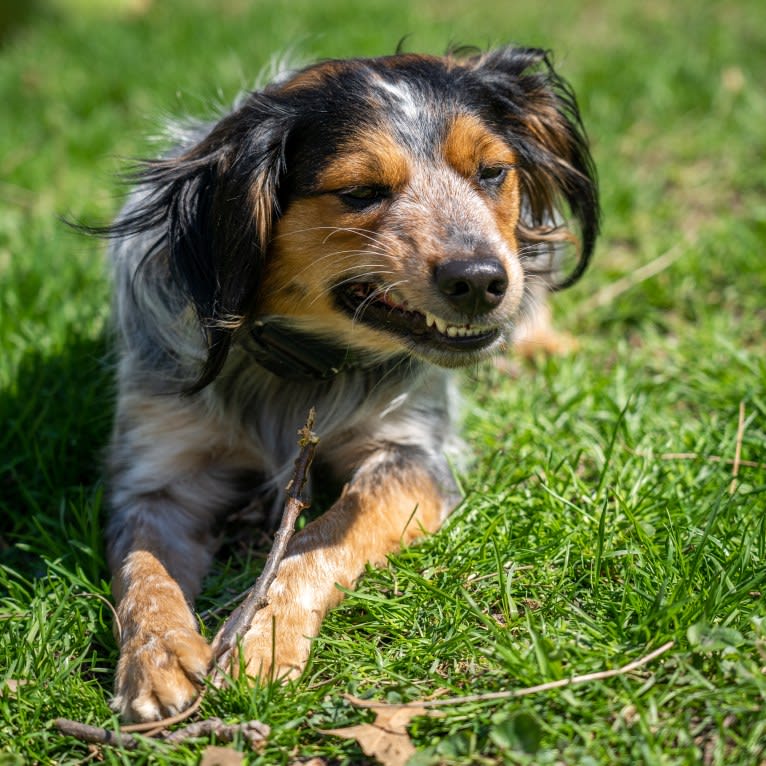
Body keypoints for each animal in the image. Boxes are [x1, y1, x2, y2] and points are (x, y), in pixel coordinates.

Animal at [99, 45, 600, 724]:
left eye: (494, 172)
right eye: (360, 192)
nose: (480, 279)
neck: (300, 367)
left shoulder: (412, 456)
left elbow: (319, 535)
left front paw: (262, 638)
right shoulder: (159, 477)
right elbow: (142, 570)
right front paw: (157, 657)